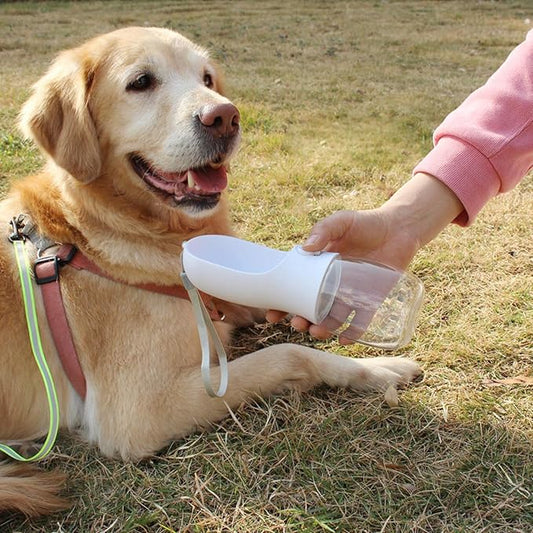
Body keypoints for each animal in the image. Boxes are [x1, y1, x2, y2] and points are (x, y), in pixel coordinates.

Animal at [0, 27, 422, 512]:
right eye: (141, 82)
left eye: (207, 78)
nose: (225, 117)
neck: (91, 234)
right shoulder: (136, 412)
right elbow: (288, 353)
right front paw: (376, 369)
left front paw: (368, 358)